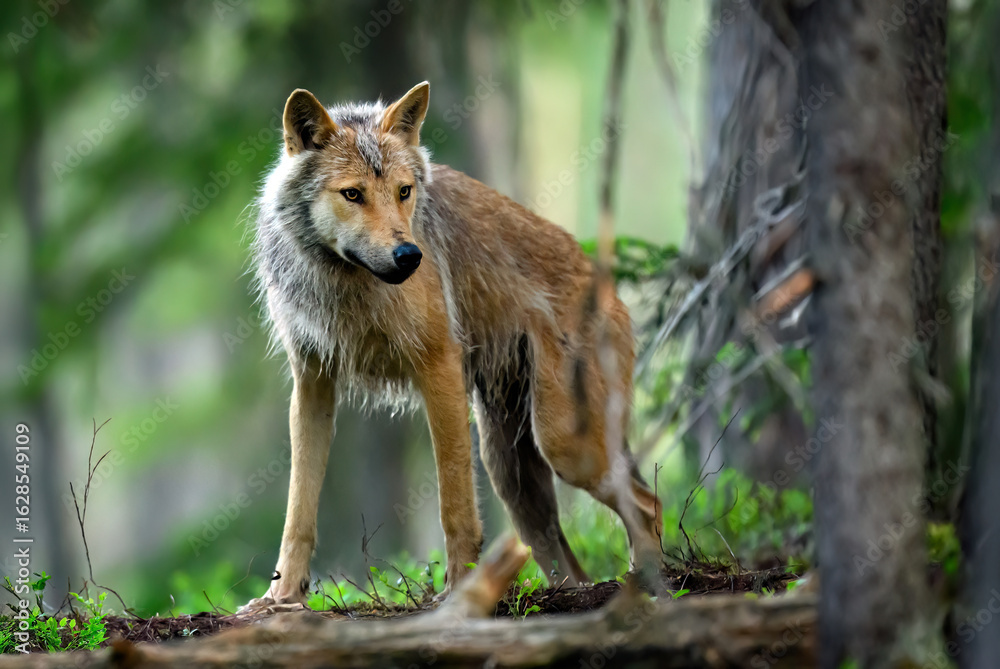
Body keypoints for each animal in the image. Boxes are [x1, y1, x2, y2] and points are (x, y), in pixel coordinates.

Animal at [245, 82, 662, 607]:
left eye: (404, 191)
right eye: (353, 194)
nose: (409, 256)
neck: (345, 286)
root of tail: (612, 291)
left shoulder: (439, 367)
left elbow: (454, 503)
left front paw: (456, 594)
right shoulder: (312, 385)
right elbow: (298, 509)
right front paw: (281, 599)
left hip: (564, 447)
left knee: (649, 505)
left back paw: (649, 587)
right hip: (513, 473)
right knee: (566, 556)